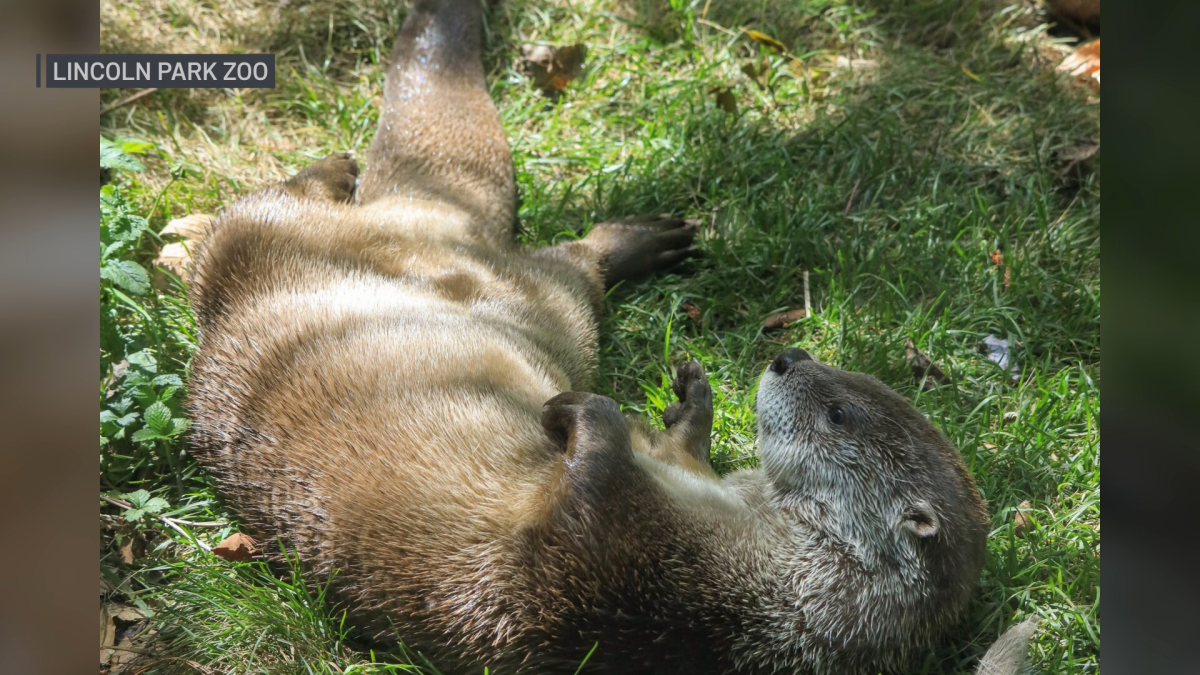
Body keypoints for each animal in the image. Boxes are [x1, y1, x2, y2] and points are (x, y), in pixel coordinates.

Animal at [188, 1, 1030, 673]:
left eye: (838, 412)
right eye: (851, 377)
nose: (788, 356)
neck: (754, 573)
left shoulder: (616, 575)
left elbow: (581, 492)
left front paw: (582, 412)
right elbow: (674, 445)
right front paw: (686, 397)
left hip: (540, 299)